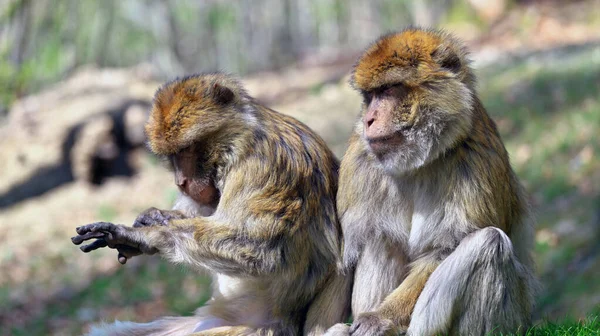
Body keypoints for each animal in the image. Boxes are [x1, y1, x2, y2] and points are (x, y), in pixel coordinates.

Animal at [71, 73, 352, 336]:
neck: (241, 140)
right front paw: (155, 218)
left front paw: (143, 236)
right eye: (172, 155)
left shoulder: (265, 165)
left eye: (187, 149)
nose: (181, 182)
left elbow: (260, 250)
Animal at [326, 28, 536, 336]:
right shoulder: (360, 161)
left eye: (388, 90)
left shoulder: (475, 160)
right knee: (380, 238)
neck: (418, 161)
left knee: (489, 244)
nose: (368, 119)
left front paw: (381, 318)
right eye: (370, 96)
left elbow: (441, 250)